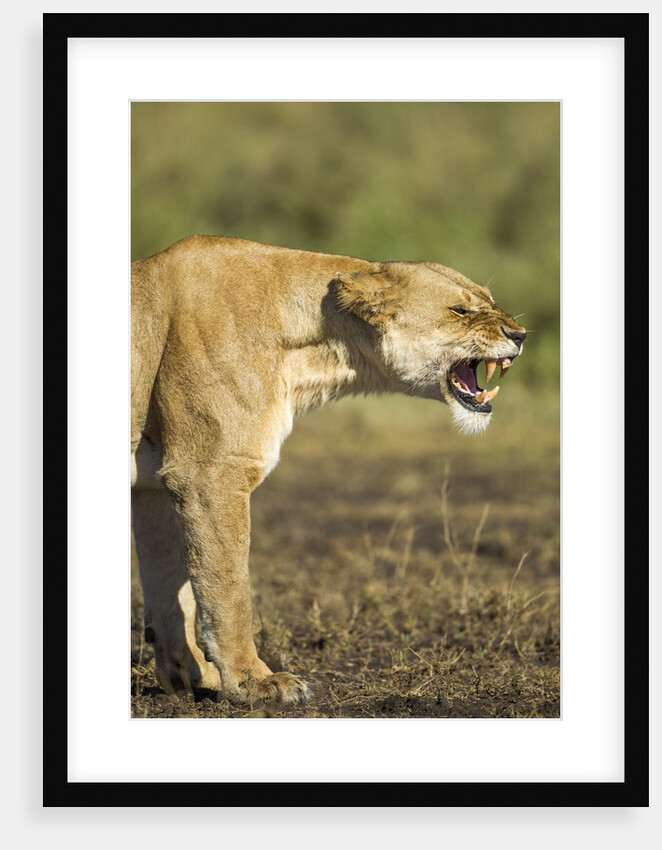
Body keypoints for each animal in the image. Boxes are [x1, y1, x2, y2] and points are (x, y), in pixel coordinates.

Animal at [131, 236, 526, 705]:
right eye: (460, 310)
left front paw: (191, 676)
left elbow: (170, 588)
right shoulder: (209, 471)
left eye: (491, 301)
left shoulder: (156, 486)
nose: (520, 335)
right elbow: (227, 585)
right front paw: (253, 682)